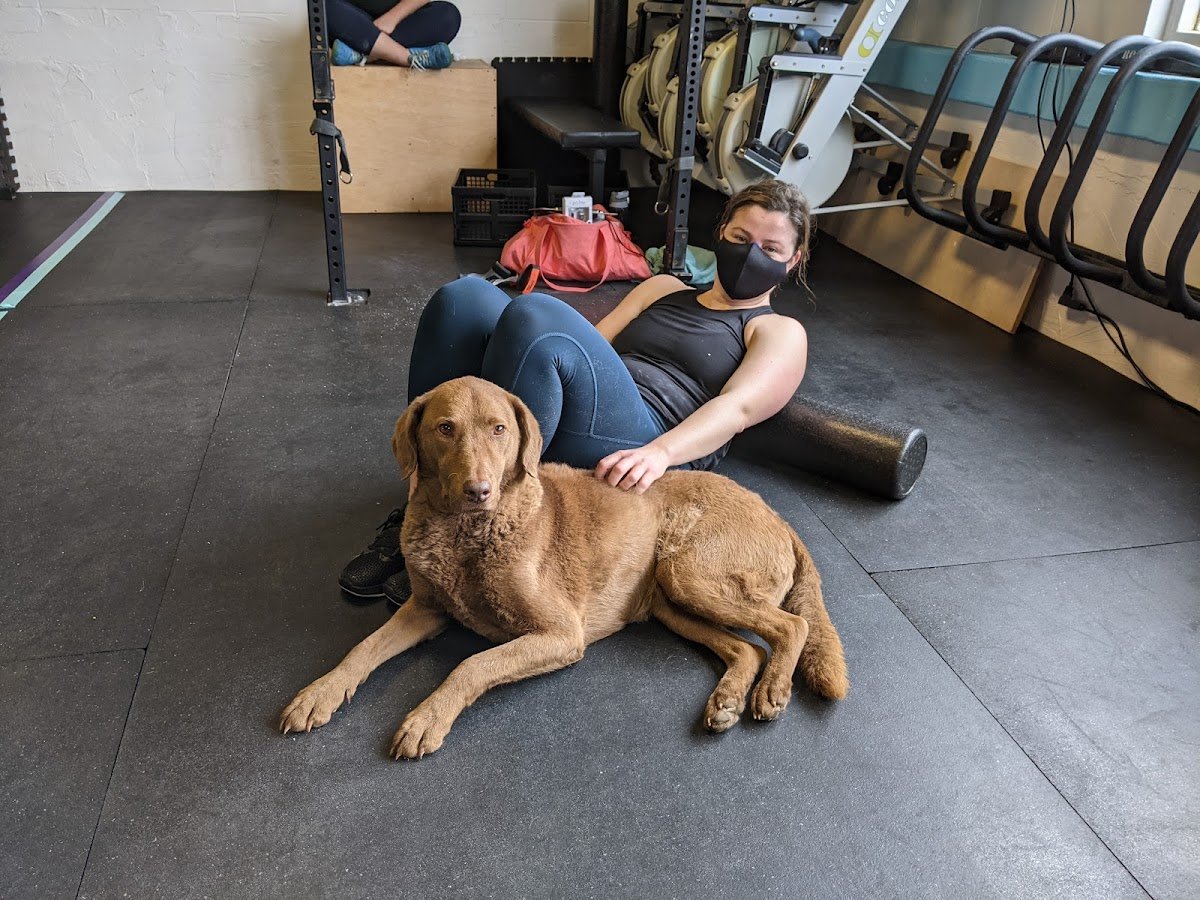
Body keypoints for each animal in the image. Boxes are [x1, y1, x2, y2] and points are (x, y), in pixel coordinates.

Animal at [280, 376, 849, 758]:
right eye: (444, 429)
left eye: (499, 429)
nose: (478, 491)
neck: (466, 535)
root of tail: (779, 515)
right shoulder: (423, 608)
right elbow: (362, 649)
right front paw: (318, 693)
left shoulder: (560, 633)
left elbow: (470, 664)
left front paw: (426, 718)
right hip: (671, 598)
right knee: (745, 649)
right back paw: (729, 699)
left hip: (690, 573)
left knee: (791, 625)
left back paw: (773, 690)